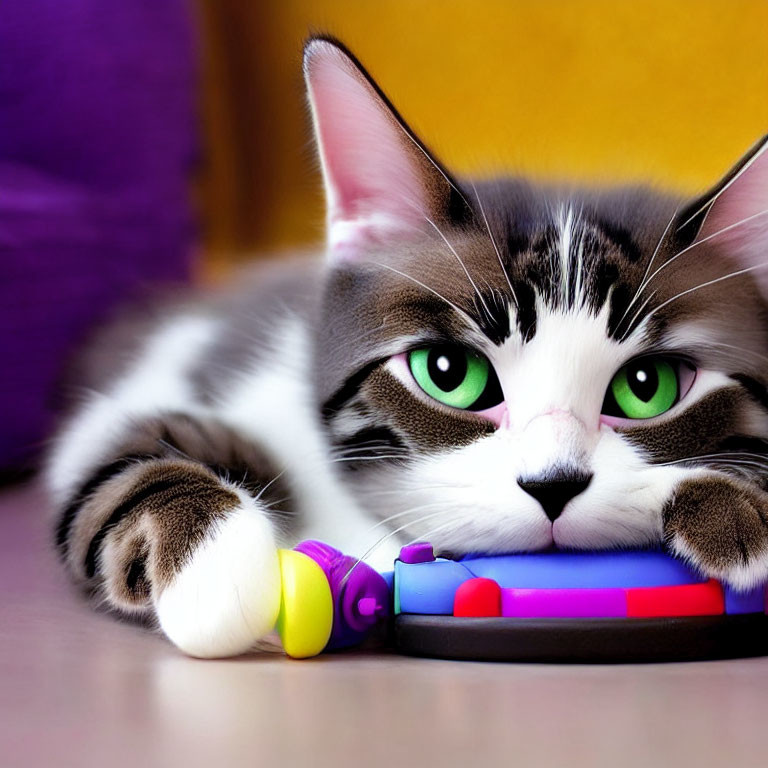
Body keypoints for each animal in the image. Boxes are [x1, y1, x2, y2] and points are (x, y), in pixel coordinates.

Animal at [46, 36, 768, 656]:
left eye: (648, 387)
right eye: (448, 373)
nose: (552, 485)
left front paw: (731, 510)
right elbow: (122, 458)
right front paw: (218, 571)